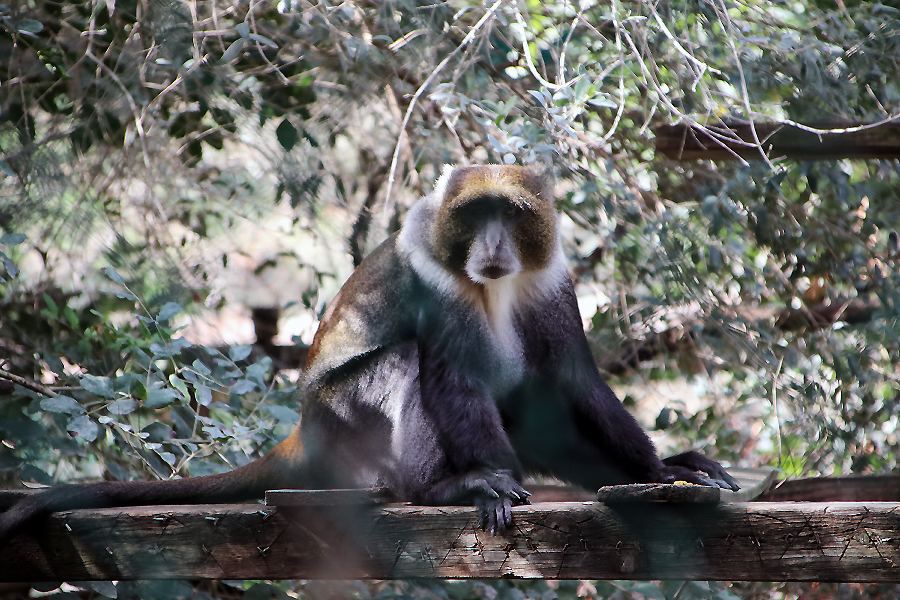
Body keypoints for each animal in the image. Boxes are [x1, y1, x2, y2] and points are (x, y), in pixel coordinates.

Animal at [0, 164, 736, 540]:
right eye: (476, 214)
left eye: (512, 213)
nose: (494, 245)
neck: (493, 281)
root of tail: (305, 429)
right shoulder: (433, 277)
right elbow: (453, 378)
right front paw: (487, 483)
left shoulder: (551, 277)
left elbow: (573, 382)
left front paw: (663, 468)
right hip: (345, 417)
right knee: (410, 366)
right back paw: (439, 488)